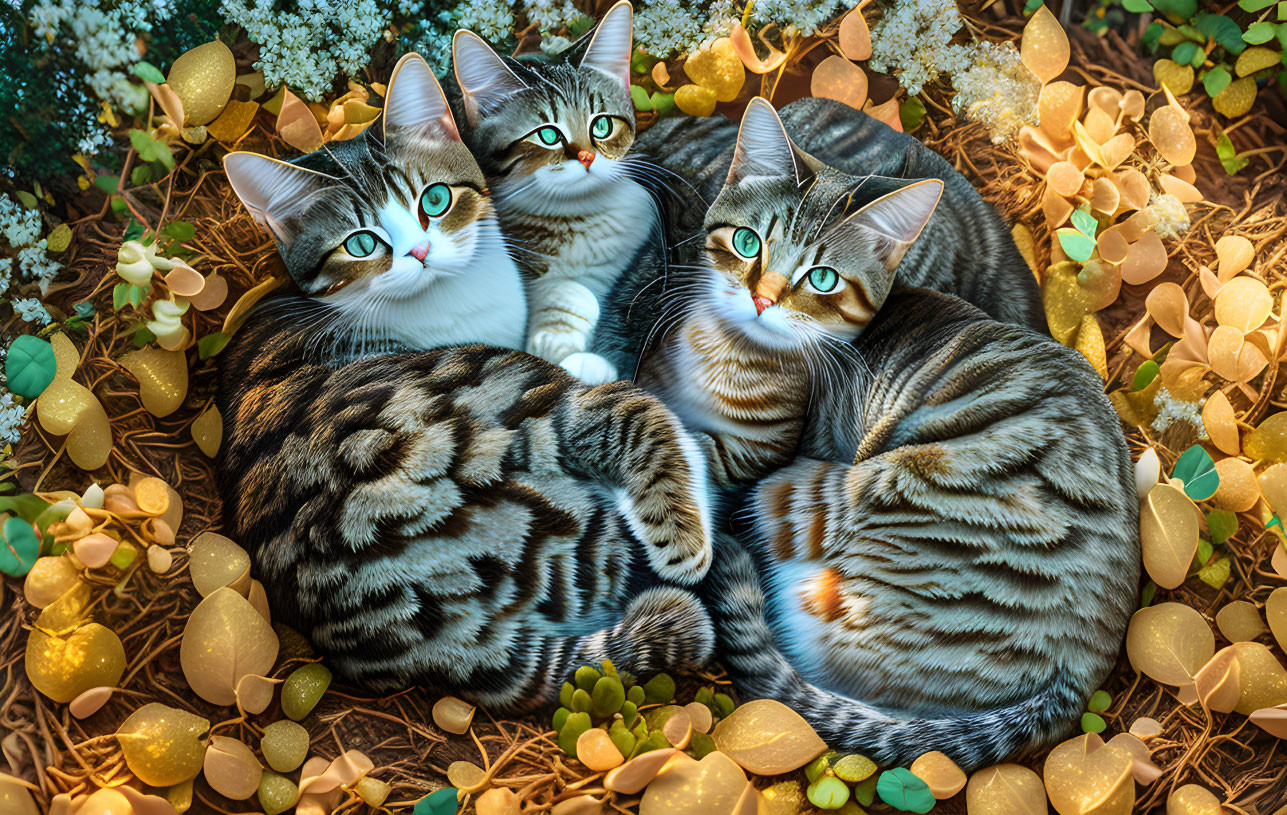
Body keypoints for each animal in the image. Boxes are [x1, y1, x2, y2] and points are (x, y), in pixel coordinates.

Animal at [217, 54, 720, 710]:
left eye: (435, 199)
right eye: (361, 243)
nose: (421, 252)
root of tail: (449, 641)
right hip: (518, 409)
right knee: (628, 413)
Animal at [635, 98, 1137, 767]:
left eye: (822, 279)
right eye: (747, 242)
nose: (762, 299)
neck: (720, 348)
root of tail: (1075, 677)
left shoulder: (752, 460)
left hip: (811, 493)